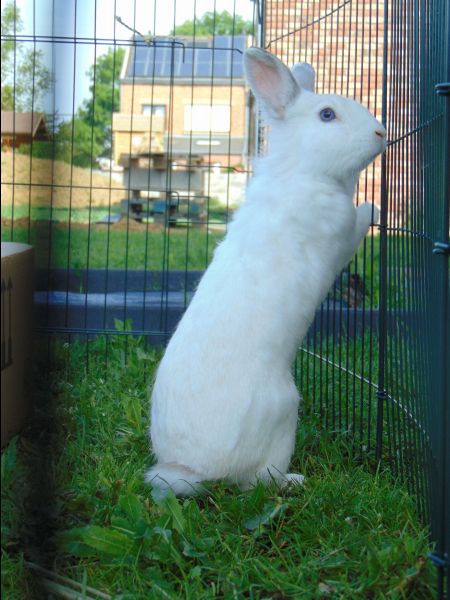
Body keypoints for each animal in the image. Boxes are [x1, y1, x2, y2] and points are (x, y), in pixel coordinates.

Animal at [145, 47, 386, 496]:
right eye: (328, 115)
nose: (381, 133)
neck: (303, 171)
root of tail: (194, 468)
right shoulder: (341, 237)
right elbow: (357, 220)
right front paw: (374, 207)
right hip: (285, 414)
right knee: (257, 481)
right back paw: (294, 480)